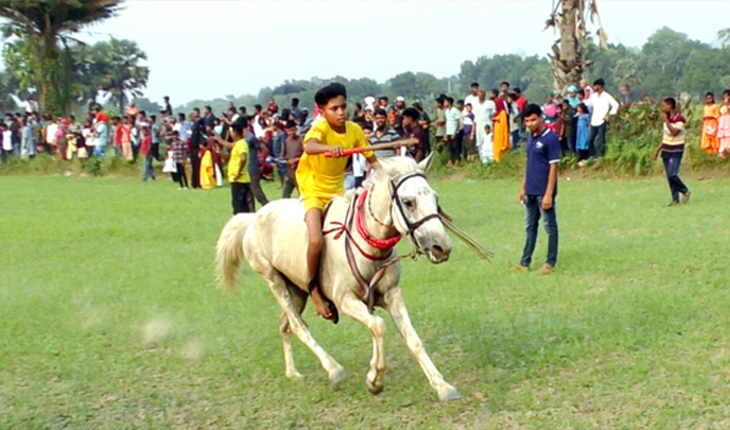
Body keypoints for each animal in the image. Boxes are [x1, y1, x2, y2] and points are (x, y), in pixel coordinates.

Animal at [213, 154, 458, 400]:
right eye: (408, 202)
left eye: (435, 198)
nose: (442, 247)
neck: (367, 241)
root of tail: (254, 217)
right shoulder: (344, 299)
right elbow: (378, 326)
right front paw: (374, 380)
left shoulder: (392, 294)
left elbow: (411, 338)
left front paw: (442, 386)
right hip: (273, 279)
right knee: (298, 327)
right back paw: (334, 369)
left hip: (297, 289)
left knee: (285, 324)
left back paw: (292, 372)